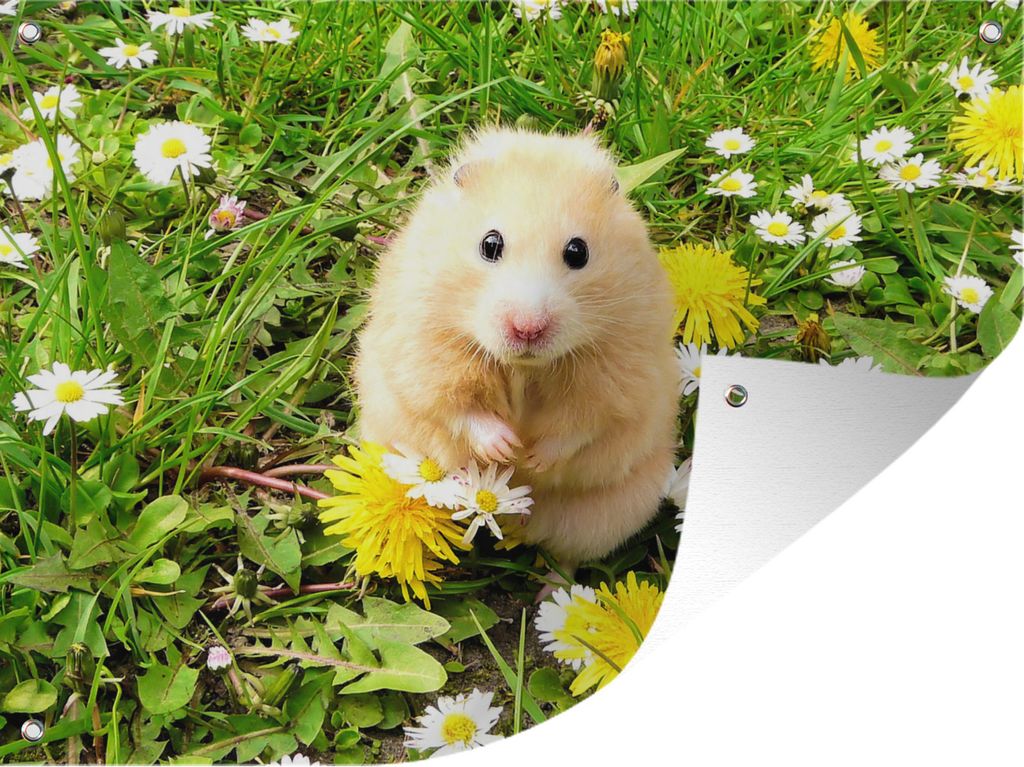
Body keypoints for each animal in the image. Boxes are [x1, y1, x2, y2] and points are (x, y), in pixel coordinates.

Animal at [354, 128, 679, 567]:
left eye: (578, 252)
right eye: (490, 244)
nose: (528, 329)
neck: (525, 367)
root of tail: (516, 521)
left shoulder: (618, 373)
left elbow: (582, 424)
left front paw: (531, 460)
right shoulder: (424, 350)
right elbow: (456, 407)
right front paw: (506, 450)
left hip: (605, 516)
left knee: (567, 556)